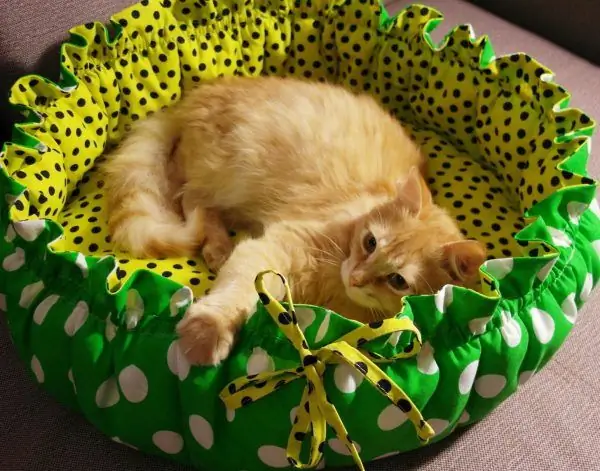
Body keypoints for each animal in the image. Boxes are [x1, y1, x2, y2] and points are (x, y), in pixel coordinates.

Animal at [104, 76, 488, 366]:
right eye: (370, 242)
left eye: (397, 280)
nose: (356, 276)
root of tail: (195, 97)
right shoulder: (275, 248)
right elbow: (237, 291)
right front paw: (209, 331)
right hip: (226, 171)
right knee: (190, 198)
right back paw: (217, 246)